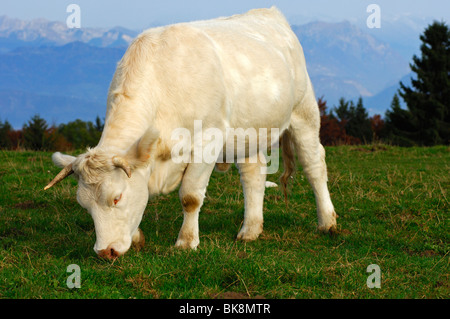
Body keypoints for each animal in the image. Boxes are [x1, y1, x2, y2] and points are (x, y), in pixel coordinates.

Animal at [44, 7, 338, 260]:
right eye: (84, 205)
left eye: (116, 197)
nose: (106, 252)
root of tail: (268, 12)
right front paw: (137, 236)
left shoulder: (208, 139)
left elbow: (190, 196)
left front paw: (186, 242)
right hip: (249, 131)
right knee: (253, 174)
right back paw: (250, 230)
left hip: (304, 112)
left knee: (314, 165)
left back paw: (327, 222)